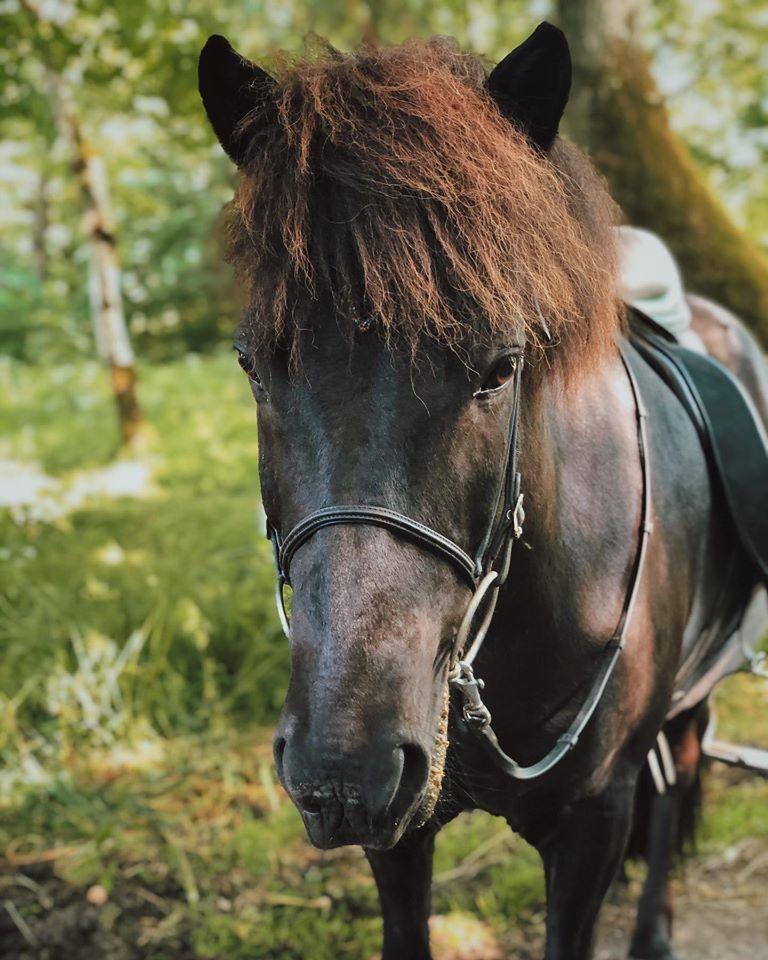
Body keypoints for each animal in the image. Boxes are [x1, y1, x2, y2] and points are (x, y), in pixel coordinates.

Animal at [200, 22, 768, 960]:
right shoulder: (400, 833)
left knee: (676, 782)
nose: (343, 767)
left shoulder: (591, 828)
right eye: (252, 365)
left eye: (501, 368)